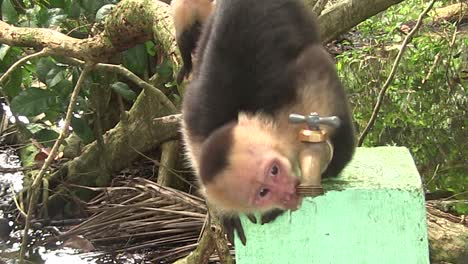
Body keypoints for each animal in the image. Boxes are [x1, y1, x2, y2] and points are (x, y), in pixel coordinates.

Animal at [181, 0, 356, 244]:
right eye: (263, 193)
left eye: (274, 170)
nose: (288, 192)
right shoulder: (193, 136)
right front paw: (228, 215)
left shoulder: (292, 111)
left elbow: (316, 65)